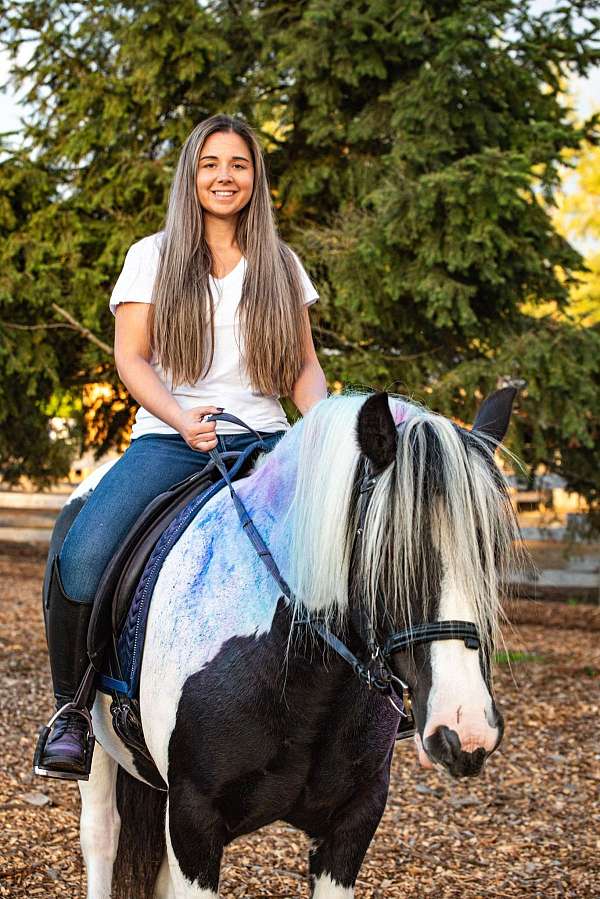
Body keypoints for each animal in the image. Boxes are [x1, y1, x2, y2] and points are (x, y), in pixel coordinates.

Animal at [44, 390, 516, 896]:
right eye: (390, 548)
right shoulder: (194, 819)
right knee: (102, 837)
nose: (465, 727)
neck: (304, 674)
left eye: (491, 548)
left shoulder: (352, 823)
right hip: (97, 752)